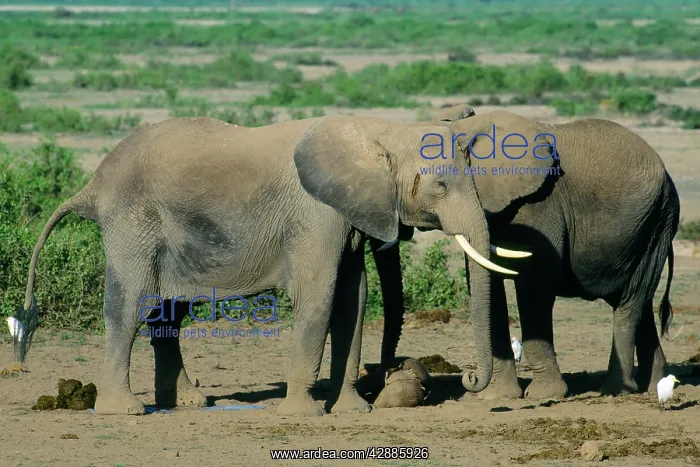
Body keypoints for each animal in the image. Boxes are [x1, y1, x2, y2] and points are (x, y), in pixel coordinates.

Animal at [17, 114, 531, 416]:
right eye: (441, 186)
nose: (468, 379)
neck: (376, 130)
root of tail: (93, 184)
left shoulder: (342, 217)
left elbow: (354, 299)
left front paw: (350, 412)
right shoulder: (315, 214)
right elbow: (320, 294)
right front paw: (303, 414)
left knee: (170, 314)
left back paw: (189, 402)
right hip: (133, 222)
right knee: (131, 307)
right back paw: (123, 410)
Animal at [372, 107, 680, 400]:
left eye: (441, 184)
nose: (469, 378)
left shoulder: (540, 202)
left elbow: (535, 283)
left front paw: (546, 394)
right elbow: (489, 284)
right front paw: (498, 396)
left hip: (657, 221)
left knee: (629, 303)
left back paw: (615, 390)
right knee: (642, 304)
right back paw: (653, 386)